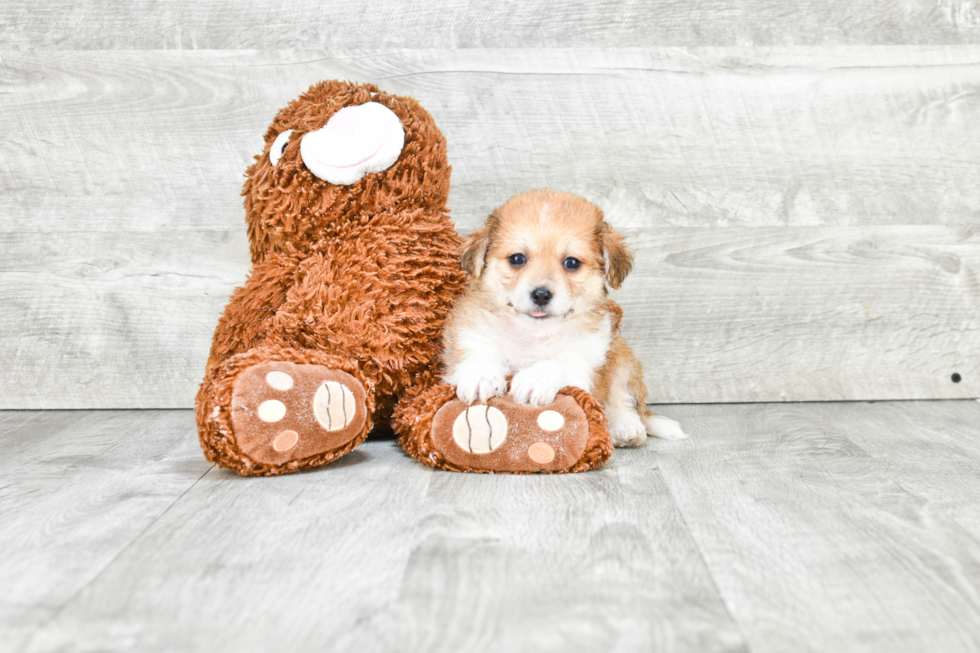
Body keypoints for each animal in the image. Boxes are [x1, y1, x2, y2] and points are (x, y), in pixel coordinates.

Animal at [442, 187, 680, 444]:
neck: (532, 334)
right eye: (517, 258)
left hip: (622, 358)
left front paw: (534, 379)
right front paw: (480, 376)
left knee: (624, 400)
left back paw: (626, 428)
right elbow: (480, 354)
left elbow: (557, 363)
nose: (541, 294)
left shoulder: (584, 364)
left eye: (572, 263)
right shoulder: (471, 336)